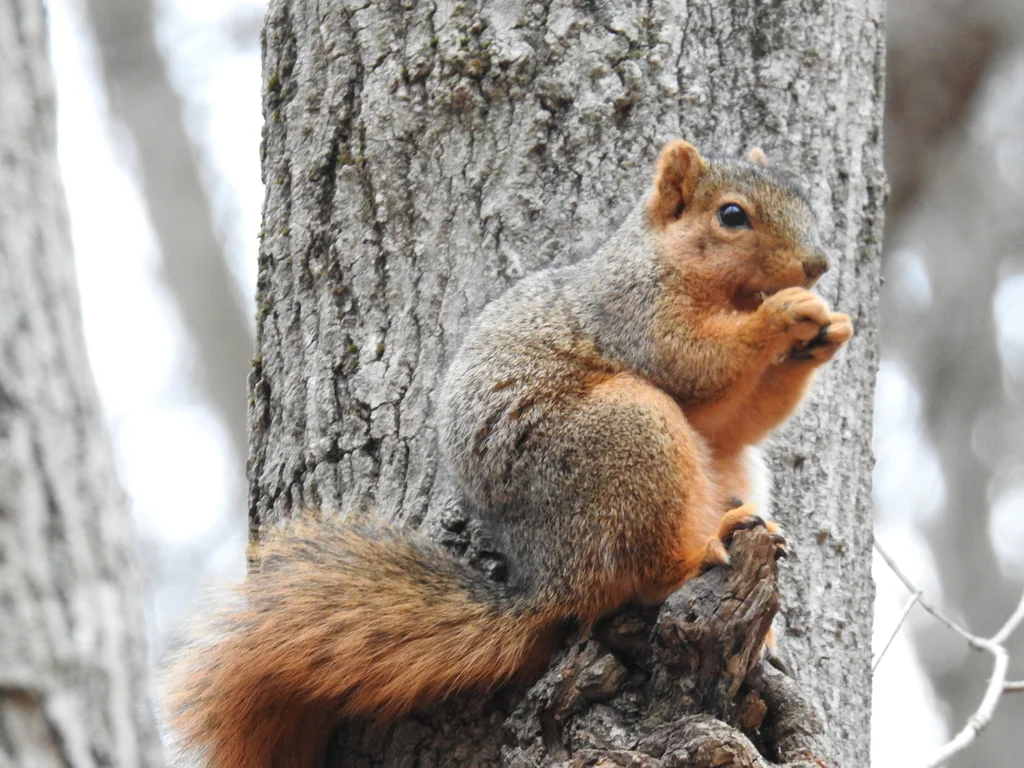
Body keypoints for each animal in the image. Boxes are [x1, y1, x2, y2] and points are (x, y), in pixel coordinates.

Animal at [163, 140, 852, 768]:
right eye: (732, 215)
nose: (817, 265)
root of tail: (552, 579)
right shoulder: (634, 312)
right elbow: (695, 361)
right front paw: (785, 315)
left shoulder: (716, 412)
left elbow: (736, 416)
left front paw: (829, 333)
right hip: (630, 432)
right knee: (645, 574)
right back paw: (702, 550)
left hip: (723, 465)